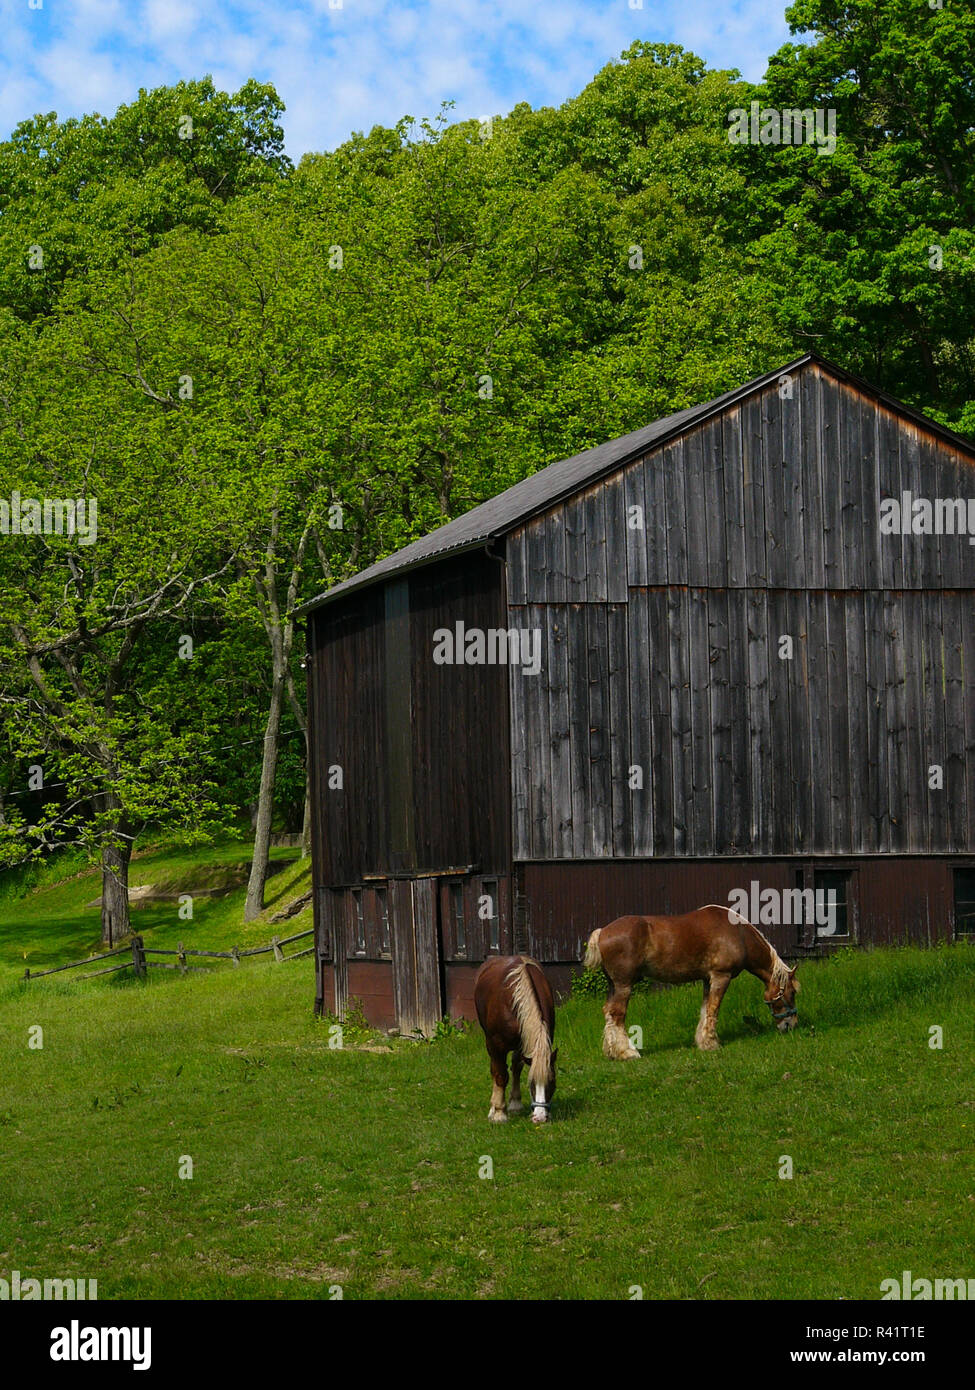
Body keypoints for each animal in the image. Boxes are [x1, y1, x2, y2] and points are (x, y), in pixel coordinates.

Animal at [472, 956, 556, 1117]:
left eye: (552, 1081)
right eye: (531, 1083)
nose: (540, 1117)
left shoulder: (524, 1043)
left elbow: (516, 1067)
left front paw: (515, 1103)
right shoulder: (496, 1045)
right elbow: (500, 1075)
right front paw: (499, 1113)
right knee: (495, 1069)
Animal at [586, 900, 801, 1050]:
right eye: (792, 993)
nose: (791, 1025)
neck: (738, 933)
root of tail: (602, 932)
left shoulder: (707, 979)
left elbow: (705, 1010)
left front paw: (703, 1042)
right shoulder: (721, 976)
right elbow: (713, 1009)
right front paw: (712, 1043)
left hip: (613, 985)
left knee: (608, 1012)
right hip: (624, 985)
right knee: (617, 1013)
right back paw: (627, 1052)